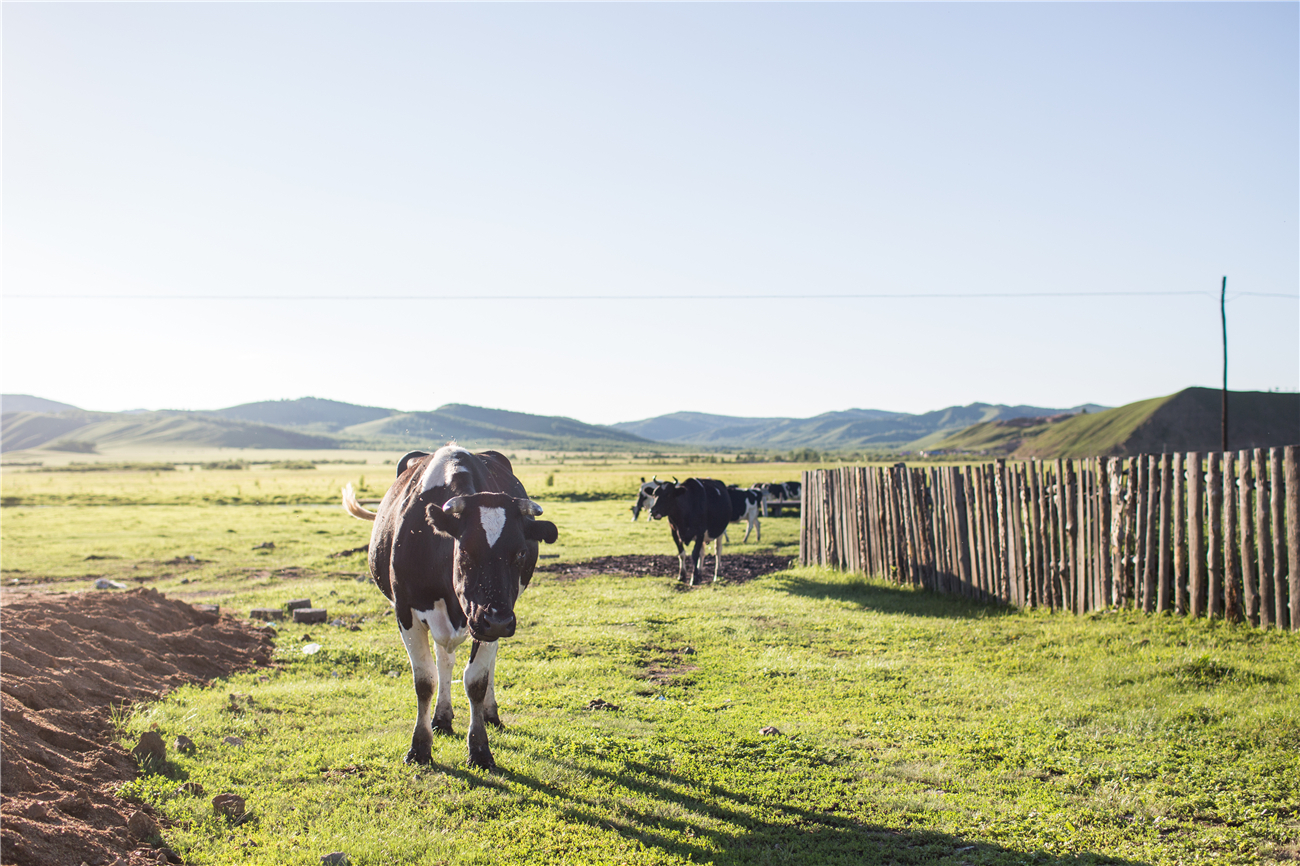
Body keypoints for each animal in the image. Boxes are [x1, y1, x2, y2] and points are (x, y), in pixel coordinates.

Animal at [340, 444, 553, 769]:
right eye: (464, 550)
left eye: (520, 553)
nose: (498, 620)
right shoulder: (406, 612)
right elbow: (425, 680)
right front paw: (419, 747)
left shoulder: (489, 618)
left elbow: (476, 680)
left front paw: (479, 749)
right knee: (444, 661)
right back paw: (441, 717)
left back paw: (489, 714)